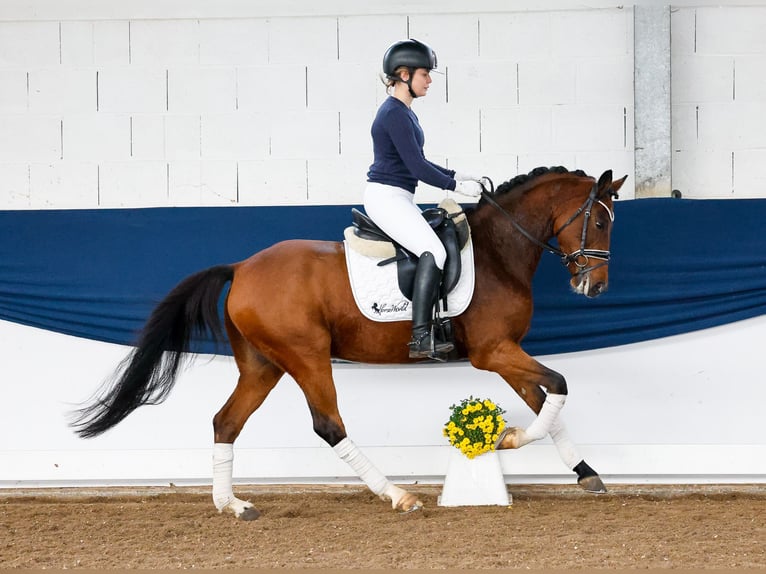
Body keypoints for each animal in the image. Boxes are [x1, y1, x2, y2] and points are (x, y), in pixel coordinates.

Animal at [70, 166, 624, 520]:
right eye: (598, 221)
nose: (595, 288)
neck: (496, 253)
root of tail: (242, 266)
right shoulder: (493, 353)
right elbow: (559, 385)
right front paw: (510, 440)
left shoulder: (505, 354)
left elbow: (547, 401)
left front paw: (584, 473)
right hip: (307, 356)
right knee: (329, 424)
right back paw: (398, 496)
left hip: (263, 364)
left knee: (226, 422)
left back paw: (233, 504)